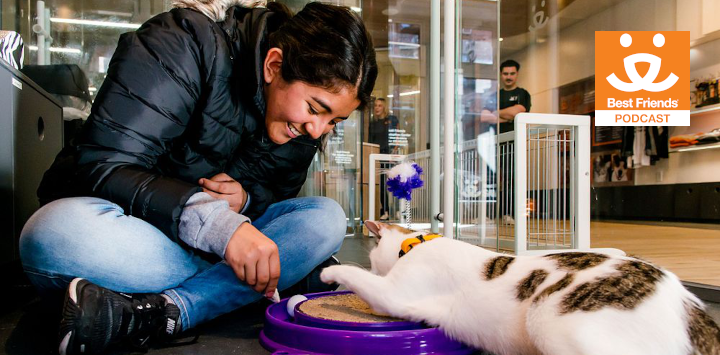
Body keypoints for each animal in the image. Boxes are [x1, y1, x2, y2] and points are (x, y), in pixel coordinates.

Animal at [322, 222, 720, 355]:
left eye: (374, 256)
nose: (375, 261)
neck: (418, 243)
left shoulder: (394, 295)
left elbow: (358, 278)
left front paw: (330, 274)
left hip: (551, 323)